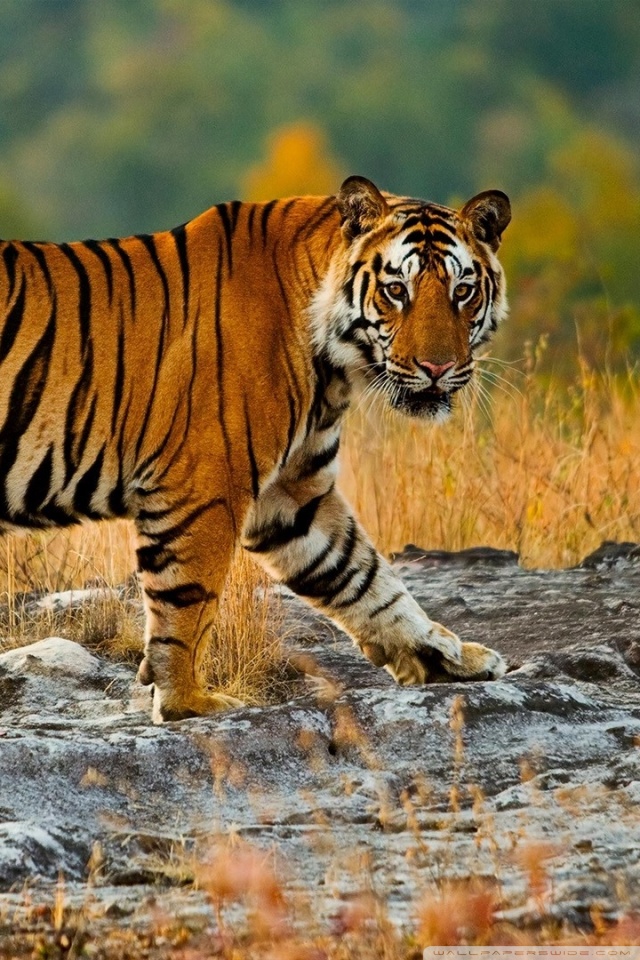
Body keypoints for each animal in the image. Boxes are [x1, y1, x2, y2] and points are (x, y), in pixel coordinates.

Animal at [0, 175, 510, 722]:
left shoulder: (292, 496)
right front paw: (188, 703)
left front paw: (448, 657)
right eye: (397, 291)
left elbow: (367, 579)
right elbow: (187, 602)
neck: (333, 366)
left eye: (462, 292)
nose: (438, 368)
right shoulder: (203, 484)